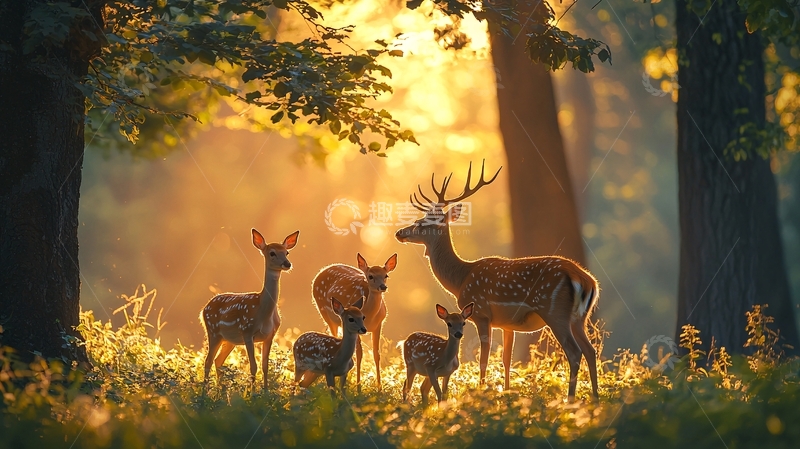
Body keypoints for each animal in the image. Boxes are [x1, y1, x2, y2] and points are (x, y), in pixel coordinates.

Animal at [201, 228, 299, 390]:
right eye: (272, 253)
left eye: (287, 252)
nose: (287, 264)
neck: (263, 312)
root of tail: (204, 309)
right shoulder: (247, 331)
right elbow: (253, 367)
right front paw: (253, 393)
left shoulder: (270, 335)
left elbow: (265, 366)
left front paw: (265, 392)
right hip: (213, 330)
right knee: (208, 361)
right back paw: (204, 393)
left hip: (230, 340)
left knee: (218, 361)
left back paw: (221, 393)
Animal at [311, 253, 397, 390]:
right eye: (370, 276)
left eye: (386, 275)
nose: (383, 286)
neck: (369, 316)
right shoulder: (354, 326)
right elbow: (359, 353)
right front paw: (358, 386)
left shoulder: (378, 324)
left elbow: (376, 354)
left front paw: (380, 388)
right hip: (323, 311)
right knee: (334, 336)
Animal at [394, 160, 600, 401]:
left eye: (422, 222)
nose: (400, 233)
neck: (461, 278)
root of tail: (587, 281)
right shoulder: (507, 324)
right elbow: (506, 360)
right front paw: (507, 393)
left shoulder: (482, 313)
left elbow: (483, 360)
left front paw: (482, 392)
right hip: (580, 317)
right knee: (591, 351)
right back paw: (596, 398)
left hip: (555, 312)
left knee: (574, 352)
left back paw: (570, 399)